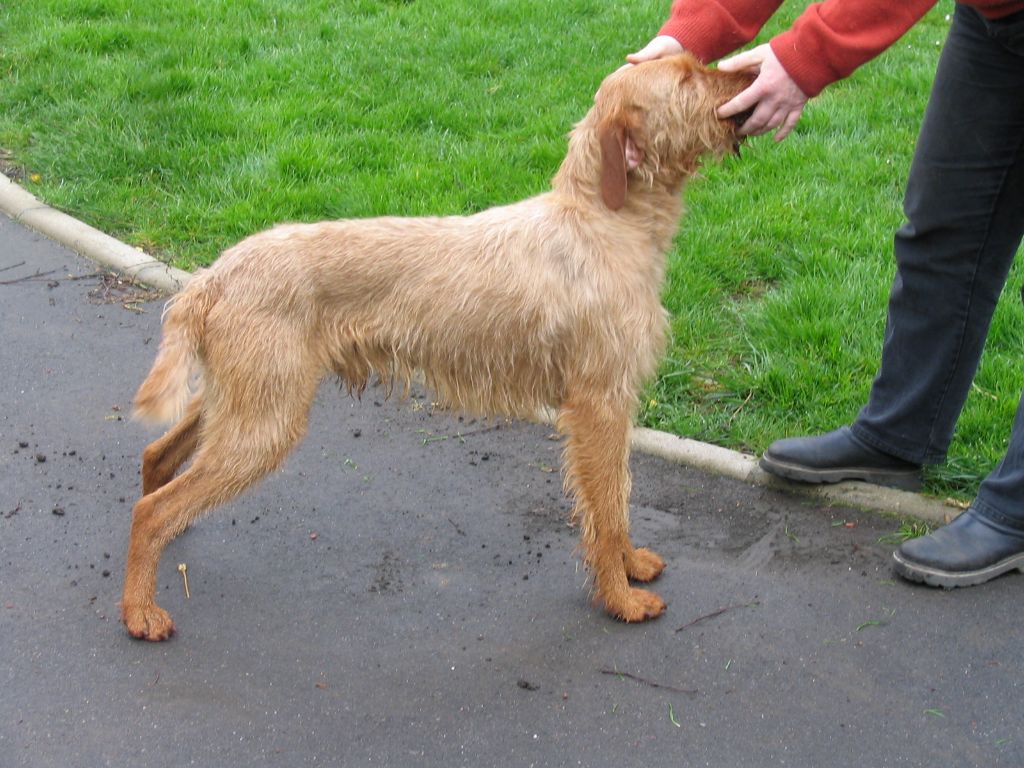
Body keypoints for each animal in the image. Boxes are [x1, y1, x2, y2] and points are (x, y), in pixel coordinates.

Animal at [121, 54, 754, 640]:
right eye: (688, 80)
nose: (751, 74)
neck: (601, 219)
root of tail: (214, 276)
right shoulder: (599, 403)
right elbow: (606, 507)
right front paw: (620, 598)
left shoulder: (612, 404)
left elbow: (617, 497)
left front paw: (631, 566)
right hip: (264, 419)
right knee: (150, 509)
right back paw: (140, 611)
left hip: (239, 398)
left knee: (157, 457)